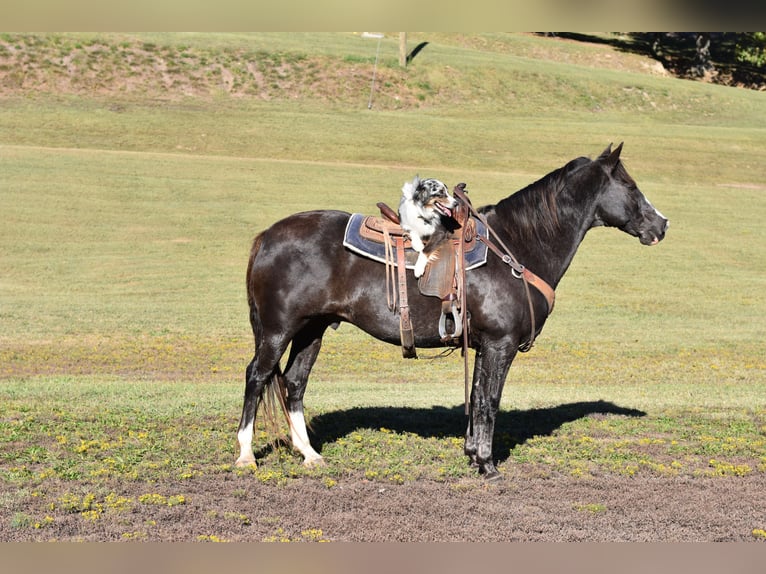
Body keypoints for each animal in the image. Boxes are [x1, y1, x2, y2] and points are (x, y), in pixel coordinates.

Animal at [235, 143, 669, 480]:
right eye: (630, 186)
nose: (662, 225)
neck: (517, 247)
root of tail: (267, 237)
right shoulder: (499, 345)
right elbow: (489, 401)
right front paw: (487, 465)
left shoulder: (483, 346)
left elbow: (477, 397)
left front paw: (474, 455)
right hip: (277, 330)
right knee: (257, 377)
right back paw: (245, 455)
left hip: (312, 330)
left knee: (293, 383)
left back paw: (309, 454)